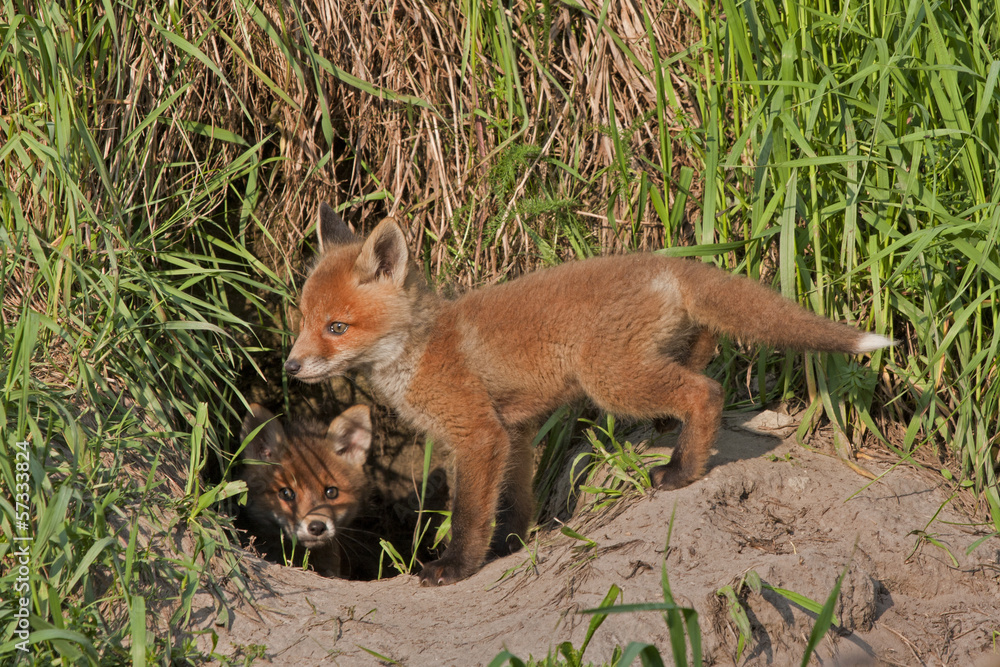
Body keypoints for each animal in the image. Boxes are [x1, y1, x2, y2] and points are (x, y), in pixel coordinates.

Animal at [286, 204, 896, 584]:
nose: (291, 366)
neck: (423, 348)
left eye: (337, 327)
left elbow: (469, 515)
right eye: (303, 321)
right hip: (649, 358)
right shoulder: (515, 430)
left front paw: (455, 567)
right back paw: (675, 440)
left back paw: (683, 470)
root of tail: (666, 263)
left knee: (705, 391)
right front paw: (513, 544)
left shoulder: (479, 434)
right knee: (702, 357)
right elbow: (517, 500)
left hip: (611, 381)